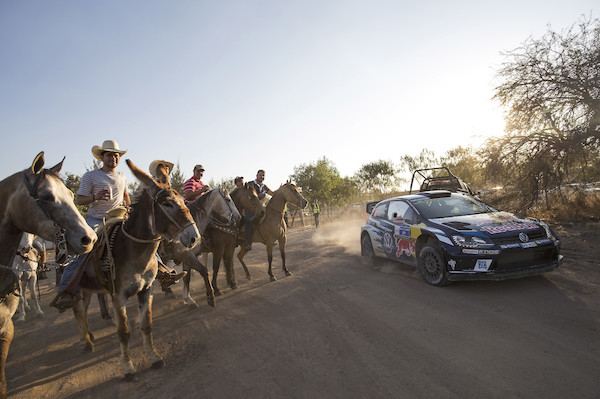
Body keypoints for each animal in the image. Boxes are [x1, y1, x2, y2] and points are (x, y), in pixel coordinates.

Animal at [72, 159, 199, 382]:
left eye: (183, 200)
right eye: (167, 203)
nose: (194, 237)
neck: (134, 251)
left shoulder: (146, 290)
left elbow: (146, 325)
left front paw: (154, 357)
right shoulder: (118, 295)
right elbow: (124, 331)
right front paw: (128, 368)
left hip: (88, 287)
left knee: (84, 308)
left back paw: (88, 336)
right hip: (78, 285)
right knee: (79, 310)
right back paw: (85, 342)